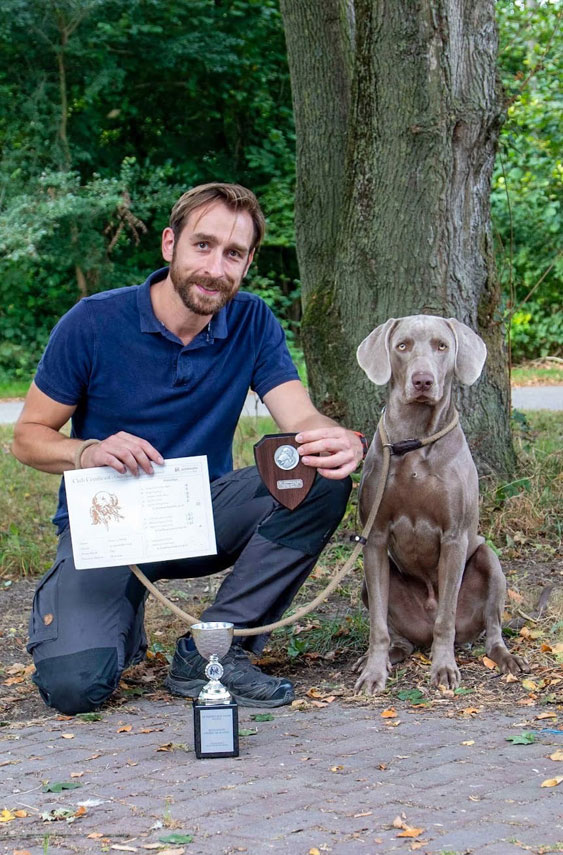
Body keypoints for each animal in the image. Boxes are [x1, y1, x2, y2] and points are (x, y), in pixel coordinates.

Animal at [354, 316, 528, 696]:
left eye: (441, 346)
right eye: (402, 346)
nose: (423, 380)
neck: (414, 440)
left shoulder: (454, 537)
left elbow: (445, 618)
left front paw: (444, 669)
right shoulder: (374, 538)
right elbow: (377, 626)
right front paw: (373, 673)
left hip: (489, 561)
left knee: (492, 629)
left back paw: (506, 658)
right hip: (371, 585)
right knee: (398, 637)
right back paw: (389, 655)